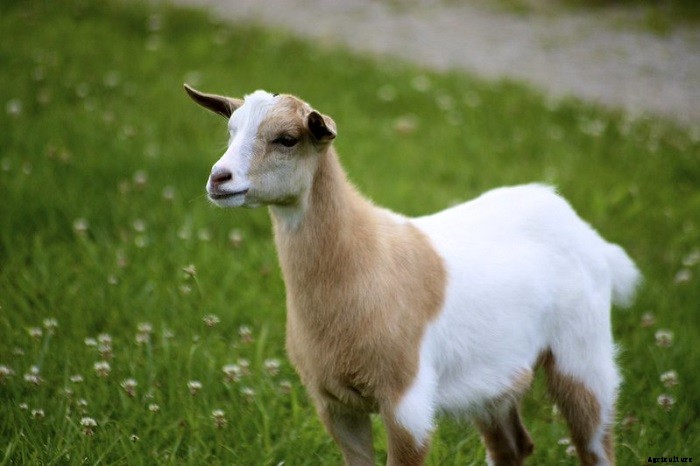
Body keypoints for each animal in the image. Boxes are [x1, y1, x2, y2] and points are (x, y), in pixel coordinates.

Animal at [184, 84, 640, 466]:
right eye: (231, 131)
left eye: (287, 139)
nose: (219, 178)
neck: (364, 258)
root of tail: (584, 231)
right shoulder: (335, 405)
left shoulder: (408, 403)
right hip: (495, 376)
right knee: (513, 447)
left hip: (583, 353)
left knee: (595, 445)